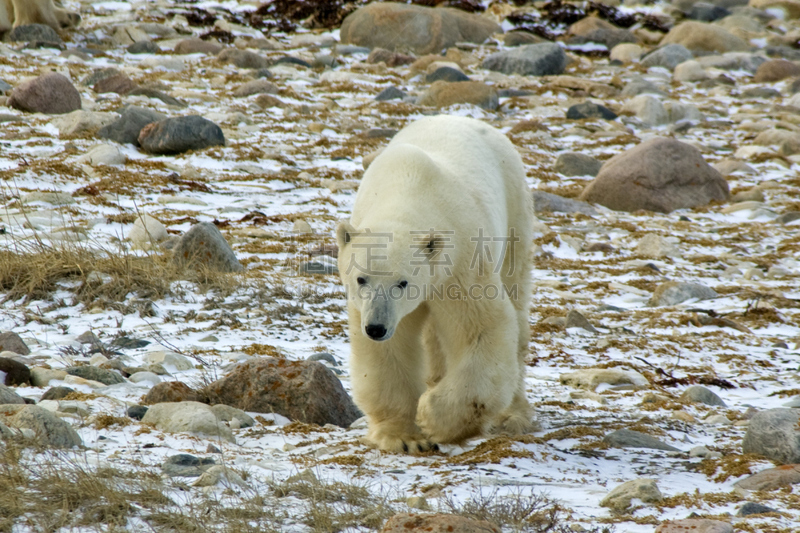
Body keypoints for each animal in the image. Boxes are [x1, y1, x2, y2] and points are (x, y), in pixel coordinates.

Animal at [334, 114, 536, 450]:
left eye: (402, 283)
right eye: (361, 278)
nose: (376, 327)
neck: (409, 190)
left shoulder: (460, 263)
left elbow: (481, 329)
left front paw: (432, 417)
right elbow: (391, 350)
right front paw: (404, 437)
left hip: (514, 214)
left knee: (516, 305)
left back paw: (513, 415)